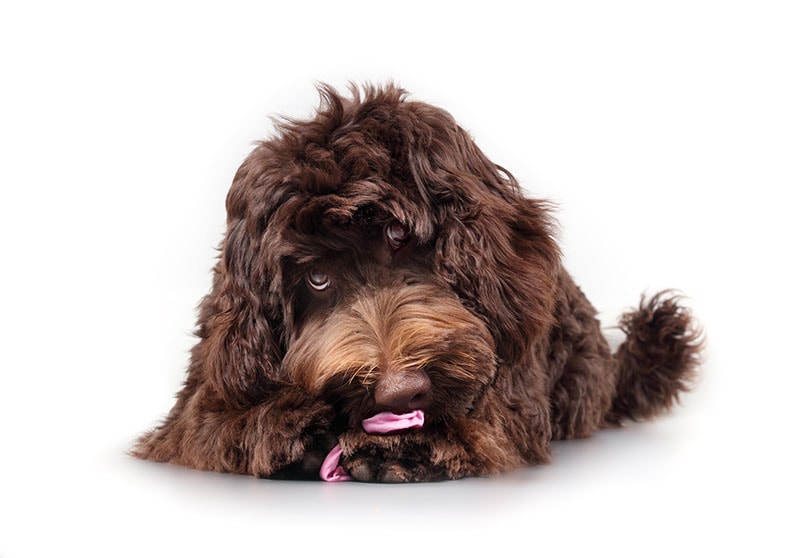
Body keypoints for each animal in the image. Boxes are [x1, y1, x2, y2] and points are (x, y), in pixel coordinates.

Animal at [133, 82, 700, 482]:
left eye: (398, 235)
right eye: (316, 277)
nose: (399, 392)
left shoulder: (516, 394)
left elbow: (488, 428)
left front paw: (405, 448)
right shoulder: (206, 382)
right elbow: (204, 428)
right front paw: (280, 424)